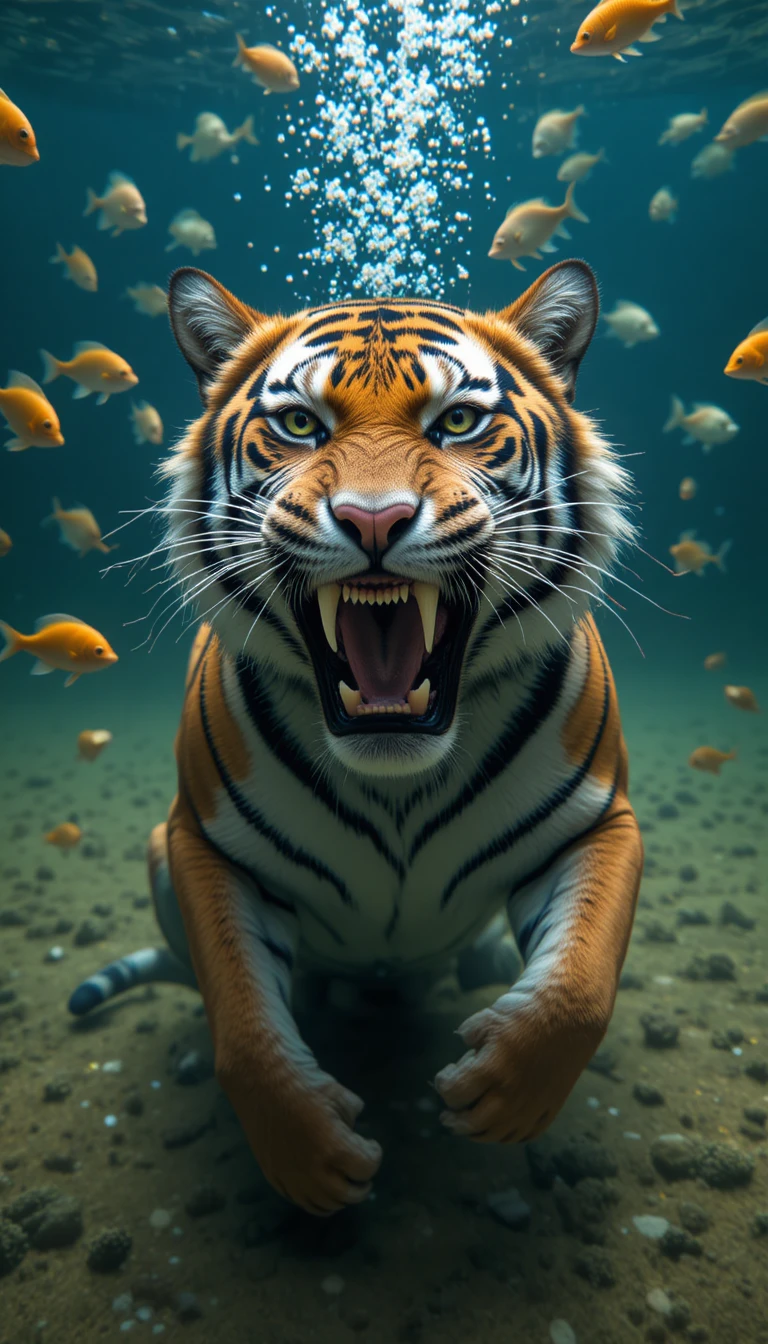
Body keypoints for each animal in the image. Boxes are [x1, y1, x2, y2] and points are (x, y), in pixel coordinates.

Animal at [69, 259, 643, 1216]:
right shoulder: (201, 843)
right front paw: (312, 1161)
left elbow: (579, 984)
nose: (374, 520)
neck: (396, 775)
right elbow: (242, 1022)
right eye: (300, 424)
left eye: (458, 422)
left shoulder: (602, 821)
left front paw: (501, 1094)